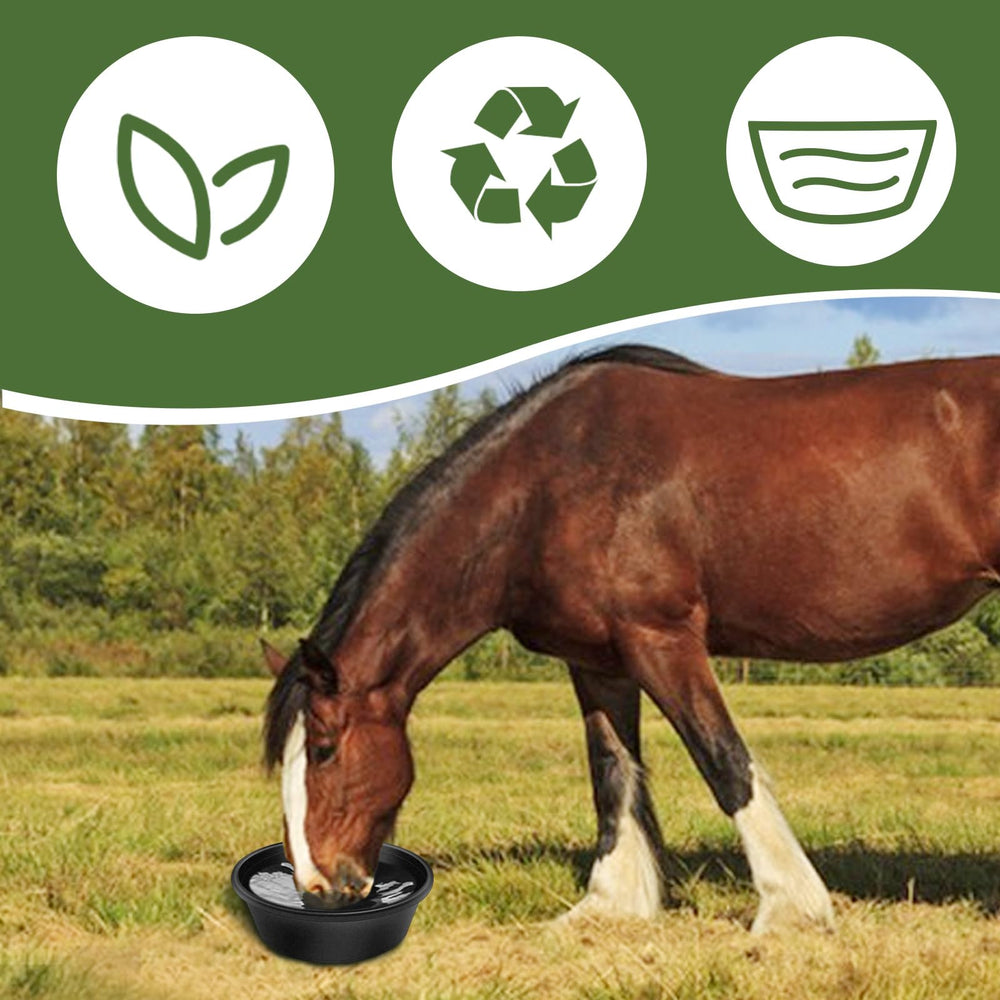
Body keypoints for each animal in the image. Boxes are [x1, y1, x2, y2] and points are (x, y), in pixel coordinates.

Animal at [261, 344, 1000, 934]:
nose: (318, 888)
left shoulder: (661, 639)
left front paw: (790, 906)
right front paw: (610, 904)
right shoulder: (598, 661)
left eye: (323, 749)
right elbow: (613, 773)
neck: (543, 486)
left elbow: (724, 762)